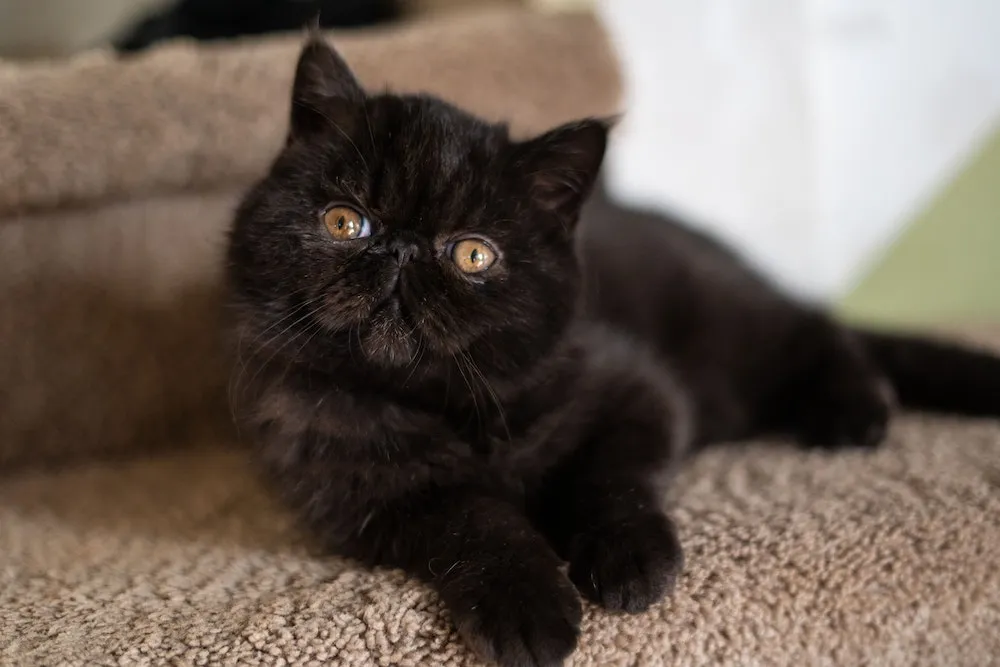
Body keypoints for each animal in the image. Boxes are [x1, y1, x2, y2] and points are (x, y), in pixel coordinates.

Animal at [227, 39, 1000, 664]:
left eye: (473, 254)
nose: (399, 252)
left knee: (816, 328)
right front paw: (528, 608)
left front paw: (631, 561)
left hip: (726, 323)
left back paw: (852, 413)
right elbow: (471, 519)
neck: (446, 405)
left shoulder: (633, 387)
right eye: (344, 222)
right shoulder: (361, 495)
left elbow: (611, 475)